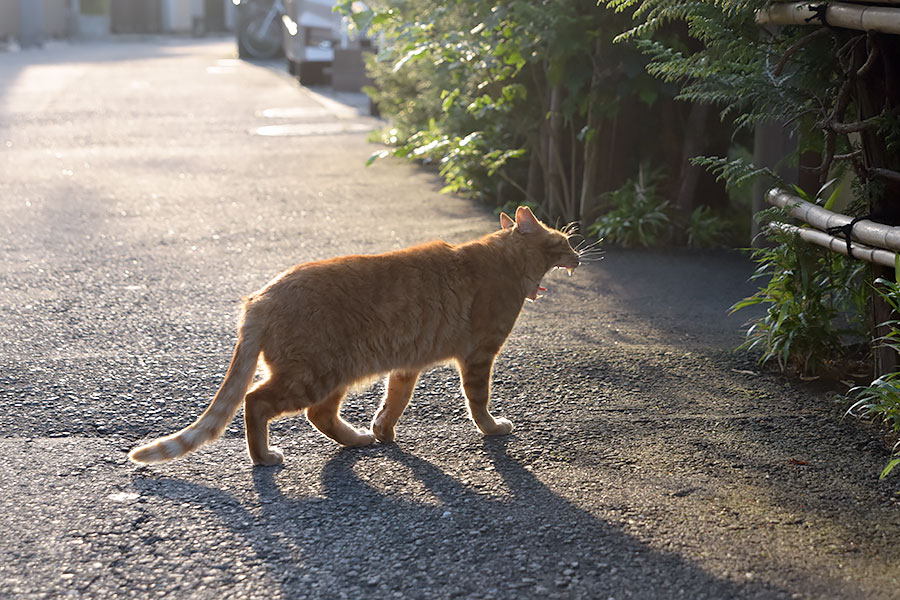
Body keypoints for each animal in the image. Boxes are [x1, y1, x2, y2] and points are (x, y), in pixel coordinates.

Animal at [128, 207, 576, 468]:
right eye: (564, 240)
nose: (578, 255)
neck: (503, 261)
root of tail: (261, 297)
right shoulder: (479, 356)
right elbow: (478, 402)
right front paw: (492, 428)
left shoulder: (406, 366)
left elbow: (394, 403)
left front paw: (383, 432)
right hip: (314, 375)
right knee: (257, 402)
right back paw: (265, 457)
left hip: (334, 375)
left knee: (319, 415)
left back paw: (358, 439)